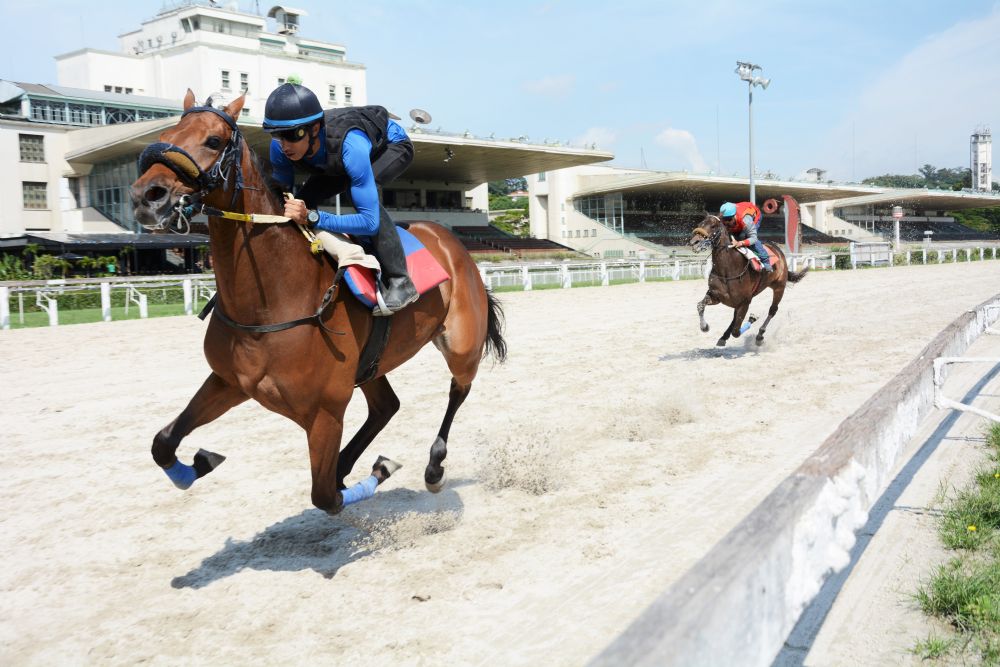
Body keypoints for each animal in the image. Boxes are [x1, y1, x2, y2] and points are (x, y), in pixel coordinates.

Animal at [130, 91, 506, 514]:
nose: (147, 196)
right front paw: (197, 463)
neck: (269, 303)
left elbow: (326, 496)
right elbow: (162, 443)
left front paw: (380, 469)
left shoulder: (326, 410)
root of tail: (451, 241)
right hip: (369, 365)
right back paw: (348, 462)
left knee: (459, 388)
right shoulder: (229, 382)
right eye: (165, 135)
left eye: (213, 140)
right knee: (386, 406)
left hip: (461, 343)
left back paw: (434, 465)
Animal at [687, 213, 808, 347]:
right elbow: (700, 305)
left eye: (713, 226)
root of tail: (778, 250)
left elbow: (736, 332)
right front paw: (704, 327)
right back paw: (724, 337)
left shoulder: (745, 302)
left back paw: (759, 335)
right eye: (700, 224)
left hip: (779, 287)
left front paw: (753, 319)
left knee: (772, 310)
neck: (727, 270)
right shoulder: (717, 296)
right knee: (735, 318)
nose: (695, 242)